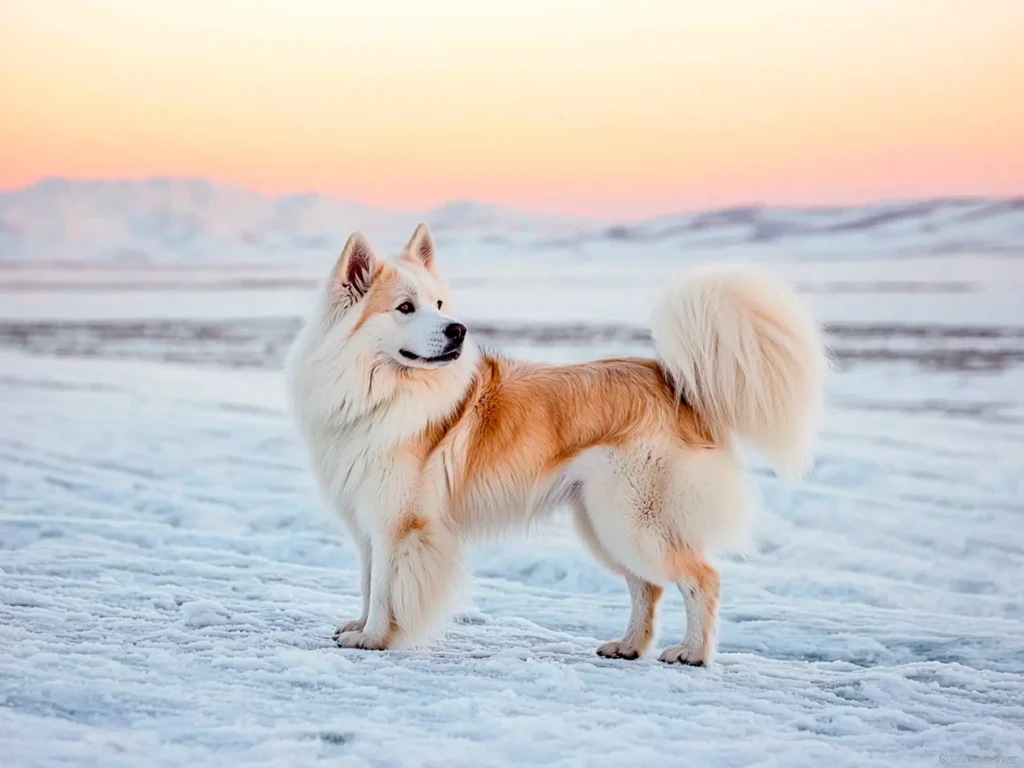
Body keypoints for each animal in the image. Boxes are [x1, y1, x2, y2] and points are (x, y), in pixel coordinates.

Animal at [284, 224, 827, 667]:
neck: (382, 388)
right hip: (603, 524)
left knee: (702, 579)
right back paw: (629, 646)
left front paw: (374, 638)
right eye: (404, 308)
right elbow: (367, 582)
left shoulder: (400, 524)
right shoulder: (368, 525)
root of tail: (673, 381)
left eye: (439, 305)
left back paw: (692, 653)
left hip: (631, 521)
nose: (458, 330)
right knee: (647, 586)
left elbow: (384, 591)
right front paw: (359, 626)